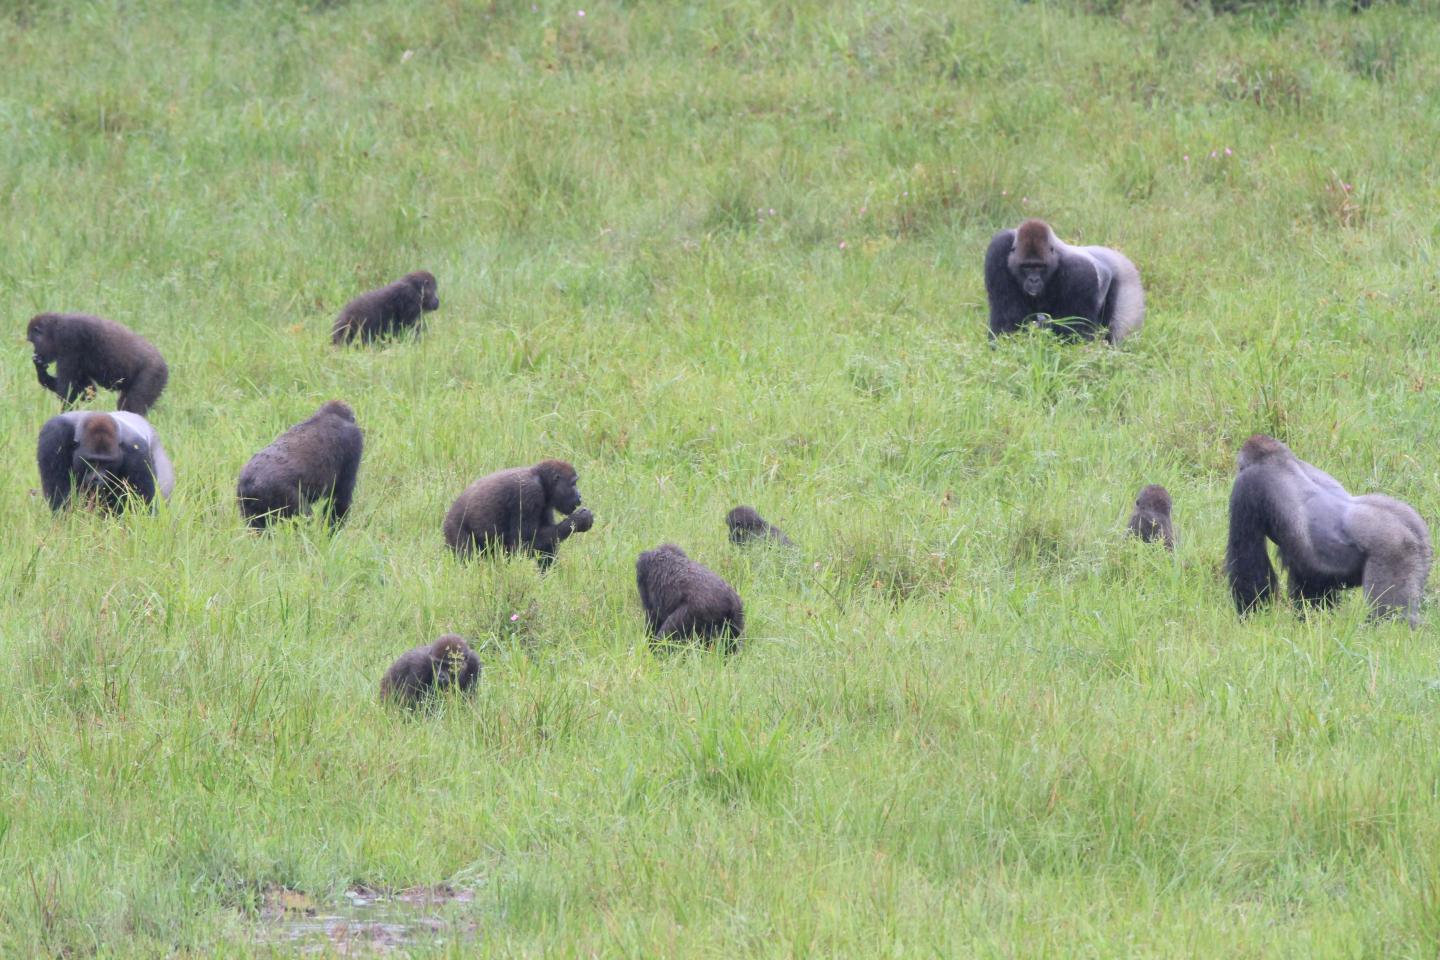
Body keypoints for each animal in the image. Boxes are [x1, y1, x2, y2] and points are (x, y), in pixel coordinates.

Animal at [26, 313, 169, 415]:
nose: (35, 351)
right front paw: (40, 371)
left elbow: (68, 392)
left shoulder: (69, 337)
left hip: (154, 374)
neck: (54, 330)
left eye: (33, 341)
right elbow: (88, 392)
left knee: (134, 406)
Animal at [37, 410, 174, 512]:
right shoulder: (54, 434)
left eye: (107, 463)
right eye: (90, 461)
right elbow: (61, 497)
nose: (96, 478)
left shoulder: (137, 451)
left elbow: (140, 506)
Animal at [443, 460, 594, 570]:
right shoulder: (529, 494)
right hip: (453, 528)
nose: (579, 495)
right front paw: (579, 520)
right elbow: (521, 544)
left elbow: (548, 544)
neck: (541, 480)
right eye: (573, 484)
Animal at [983, 219, 1145, 345]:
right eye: (1026, 267)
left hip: (1128, 281)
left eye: (1040, 267)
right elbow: (1006, 319)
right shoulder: (998, 248)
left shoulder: (1080, 273)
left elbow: (1077, 334)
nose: (1034, 280)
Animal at [1226, 434, 1432, 627]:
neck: (1276, 458)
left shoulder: (1246, 487)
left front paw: (1252, 616)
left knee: (1390, 616)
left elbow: (1250, 568)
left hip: (1394, 549)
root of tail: (1411, 528)